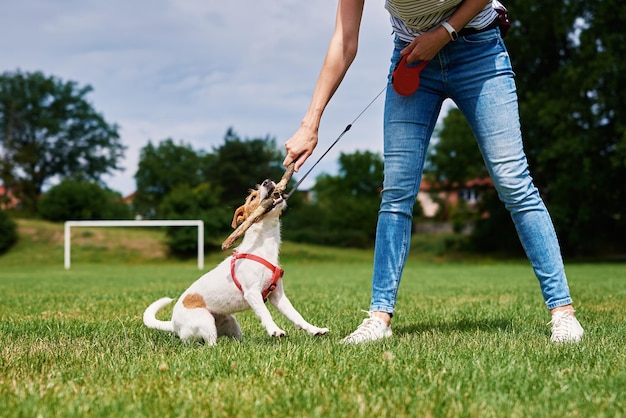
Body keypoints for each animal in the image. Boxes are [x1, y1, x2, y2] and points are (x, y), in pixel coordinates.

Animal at [143, 178, 330, 344]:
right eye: (252, 197)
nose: (267, 181)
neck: (263, 246)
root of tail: (173, 324)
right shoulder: (252, 293)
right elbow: (265, 313)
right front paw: (275, 330)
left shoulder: (278, 296)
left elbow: (296, 315)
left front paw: (315, 329)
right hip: (205, 320)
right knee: (209, 344)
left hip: (230, 321)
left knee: (235, 339)